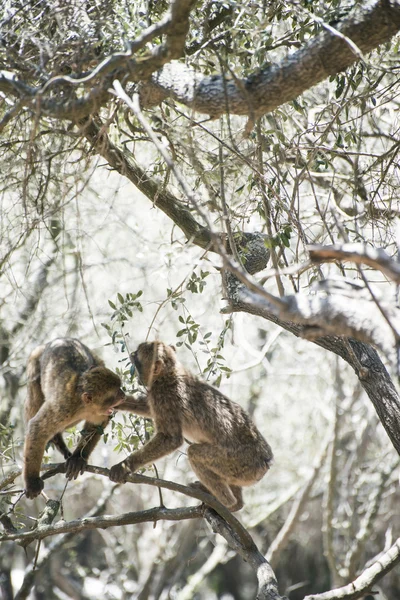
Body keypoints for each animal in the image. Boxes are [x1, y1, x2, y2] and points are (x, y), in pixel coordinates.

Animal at [23, 340, 126, 500]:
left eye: (119, 388)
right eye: (114, 394)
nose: (123, 395)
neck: (83, 406)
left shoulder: (98, 413)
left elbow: (96, 425)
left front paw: (78, 459)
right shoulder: (62, 407)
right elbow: (37, 428)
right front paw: (32, 482)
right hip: (34, 360)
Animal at [109, 342, 274, 510]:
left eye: (137, 358)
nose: (131, 355)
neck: (169, 373)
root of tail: (267, 461)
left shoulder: (164, 395)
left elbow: (170, 439)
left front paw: (125, 466)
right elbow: (148, 408)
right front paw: (115, 400)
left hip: (239, 462)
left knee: (194, 452)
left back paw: (226, 502)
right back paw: (237, 504)